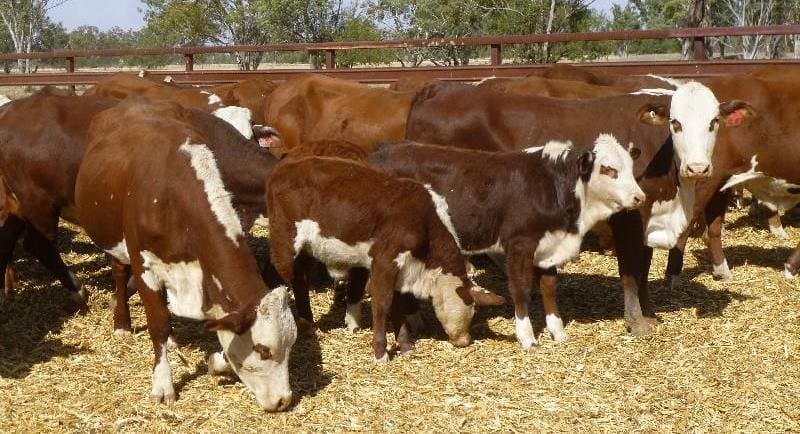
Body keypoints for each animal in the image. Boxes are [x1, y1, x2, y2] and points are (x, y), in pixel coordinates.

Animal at [268, 155, 506, 360]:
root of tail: (284, 167)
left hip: (307, 249)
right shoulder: (385, 262)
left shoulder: (403, 271)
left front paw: (406, 346)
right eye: (470, 309)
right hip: (285, 243)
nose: (465, 340)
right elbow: (382, 305)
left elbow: (397, 305)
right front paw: (381, 353)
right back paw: (305, 324)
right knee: (296, 280)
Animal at [372, 137, 648, 348]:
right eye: (608, 169)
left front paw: (557, 330)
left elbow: (549, 286)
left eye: (630, 166)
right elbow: (521, 288)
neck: (552, 187)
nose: (640, 197)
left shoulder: (549, 245)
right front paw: (527, 336)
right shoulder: (519, 243)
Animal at [406, 79, 752, 338]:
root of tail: (439, 88)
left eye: (714, 122)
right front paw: (635, 320)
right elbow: (630, 270)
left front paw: (650, 312)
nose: (698, 168)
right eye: (675, 123)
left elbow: (643, 269)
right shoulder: (629, 217)